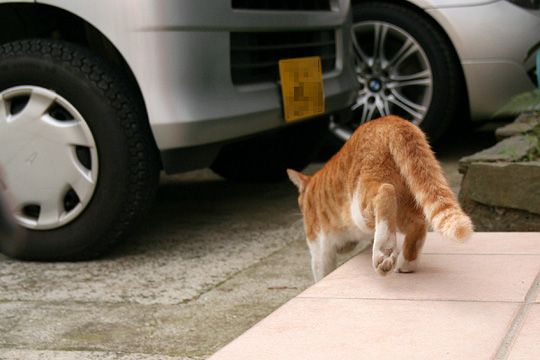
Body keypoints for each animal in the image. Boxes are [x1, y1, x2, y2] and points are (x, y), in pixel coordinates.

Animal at [286, 115, 472, 282]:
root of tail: (390, 120)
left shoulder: (319, 246)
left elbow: (321, 272)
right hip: (405, 203)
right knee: (418, 223)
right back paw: (407, 264)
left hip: (360, 206)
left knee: (385, 192)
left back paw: (384, 250)